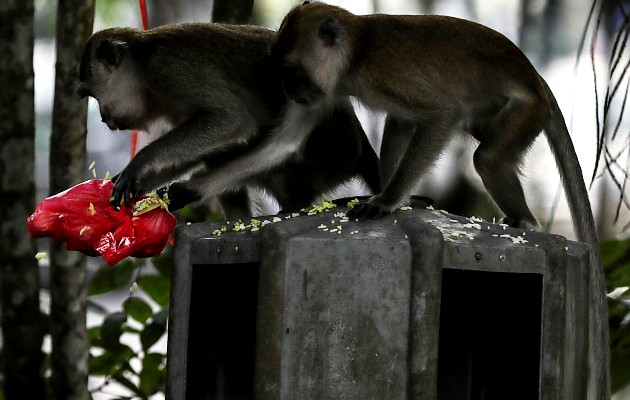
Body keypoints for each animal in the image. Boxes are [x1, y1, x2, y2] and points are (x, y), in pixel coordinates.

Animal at [74, 22, 380, 219]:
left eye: (95, 95)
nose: (103, 116)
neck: (143, 68)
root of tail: (361, 148)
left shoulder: (171, 72)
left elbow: (232, 122)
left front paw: (140, 163)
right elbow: (196, 150)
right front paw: (135, 182)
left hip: (323, 161)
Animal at [270, 1, 608, 398]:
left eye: (291, 70)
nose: (287, 90)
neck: (357, 52)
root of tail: (537, 79)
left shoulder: (384, 75)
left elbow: (441, 114)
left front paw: (387, 200)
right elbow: (401, 122)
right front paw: (388, 193)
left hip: (526, 111)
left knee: (488, 158)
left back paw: (524, 220)